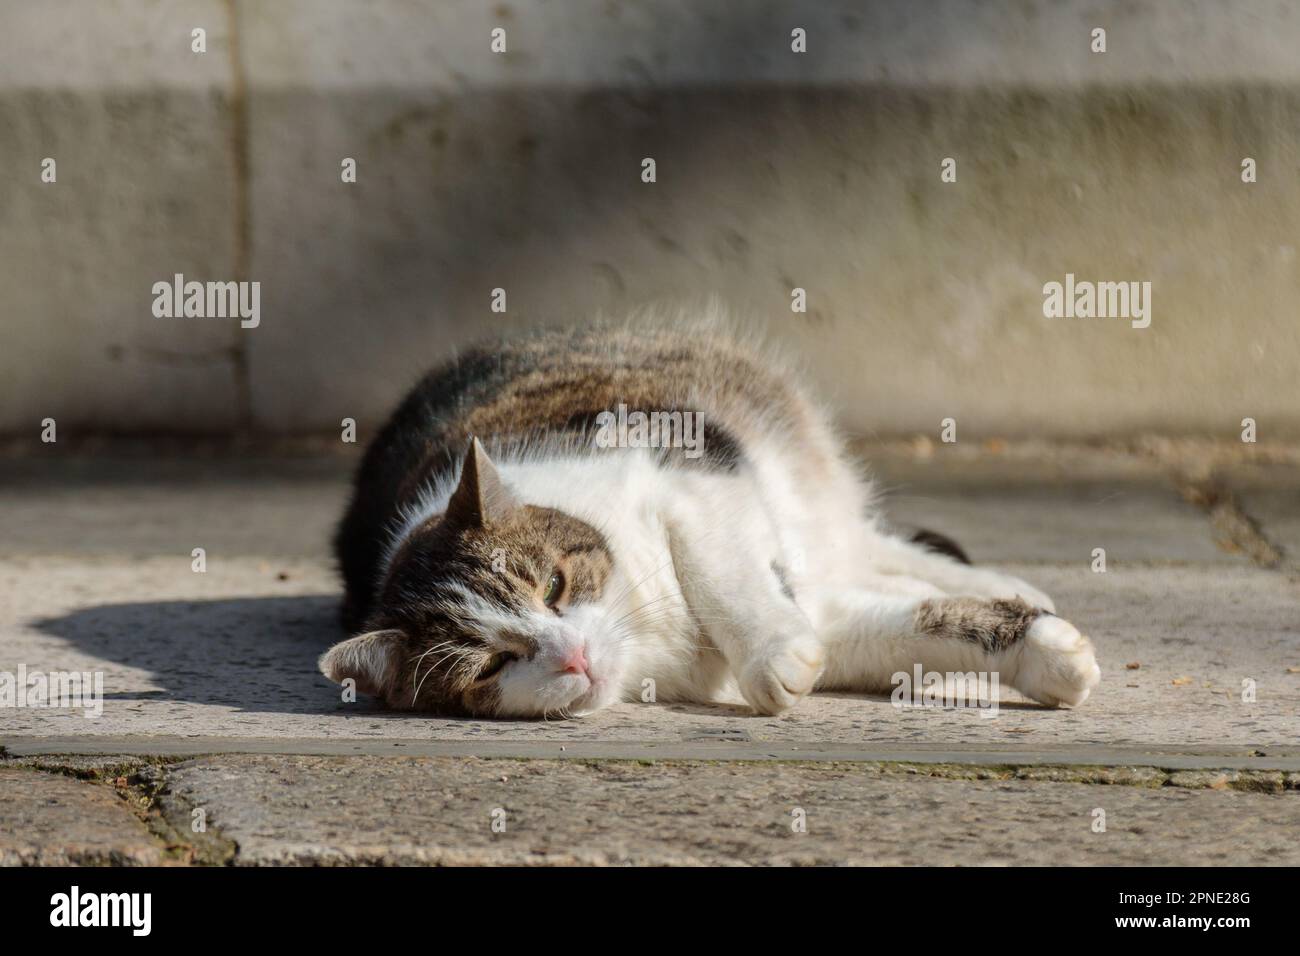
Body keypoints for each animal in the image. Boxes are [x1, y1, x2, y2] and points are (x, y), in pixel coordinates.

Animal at [322, 319, 1097, 717]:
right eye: (491, 665)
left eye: (554, 587)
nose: (573, 655)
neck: (646, 636)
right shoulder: (824, 619)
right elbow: (912, 628)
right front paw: (1046, 655)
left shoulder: (688, 467)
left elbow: (715, 568)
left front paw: (775, 653)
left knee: (869, 542)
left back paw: (1001, 582)